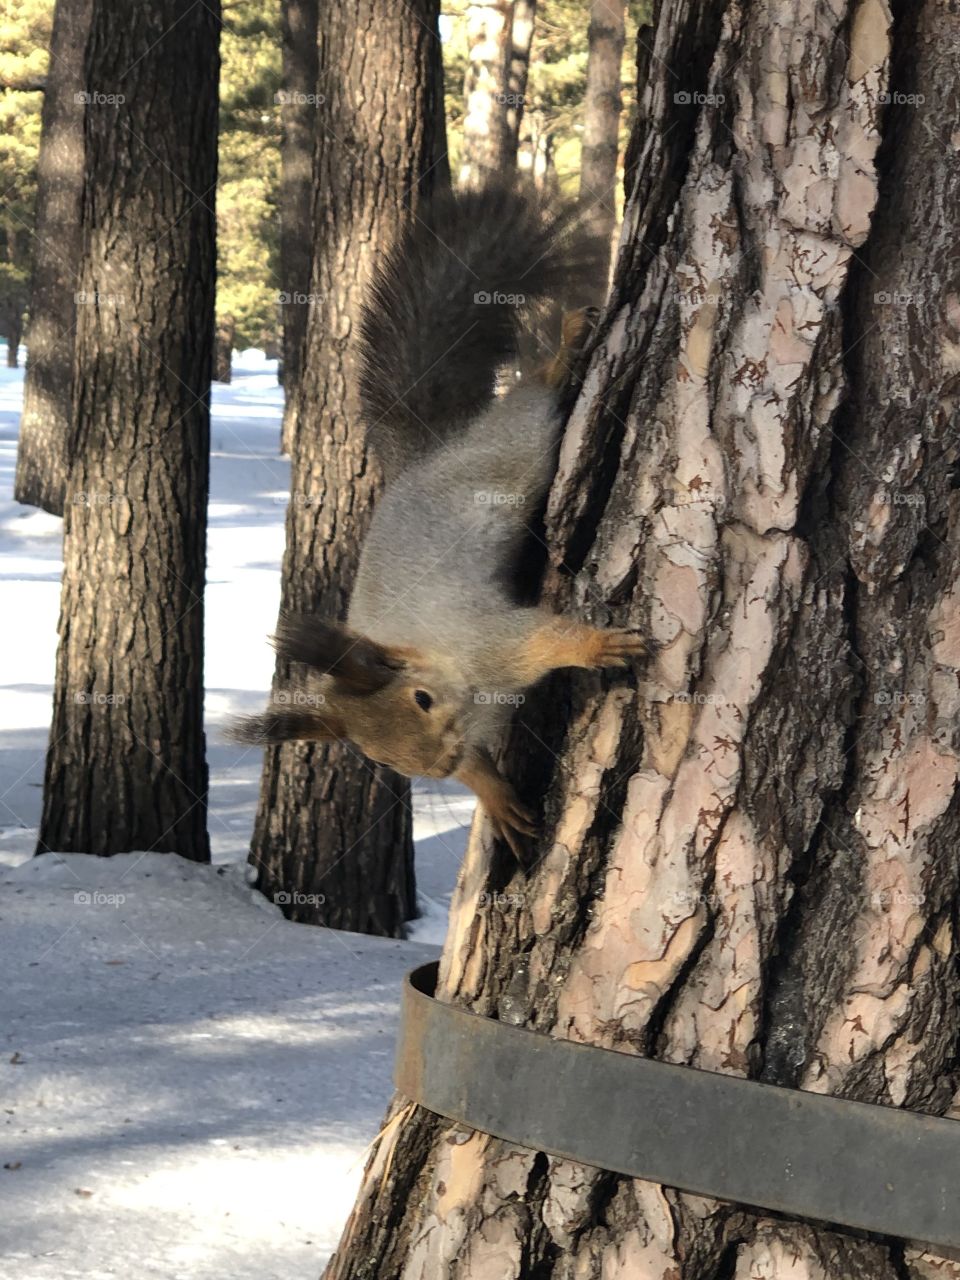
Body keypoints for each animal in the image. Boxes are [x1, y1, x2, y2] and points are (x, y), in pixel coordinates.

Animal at [232, 183, 648, 855]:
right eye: (381, 759)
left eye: (422, 700)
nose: (439, 764)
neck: (442, 662)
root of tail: (427, 457)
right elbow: (483, 764)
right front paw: (494, 795)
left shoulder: (493, 643)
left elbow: (546, 637)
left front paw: (598, 643)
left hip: (515, 446)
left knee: (532, 399)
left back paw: (561, 357)